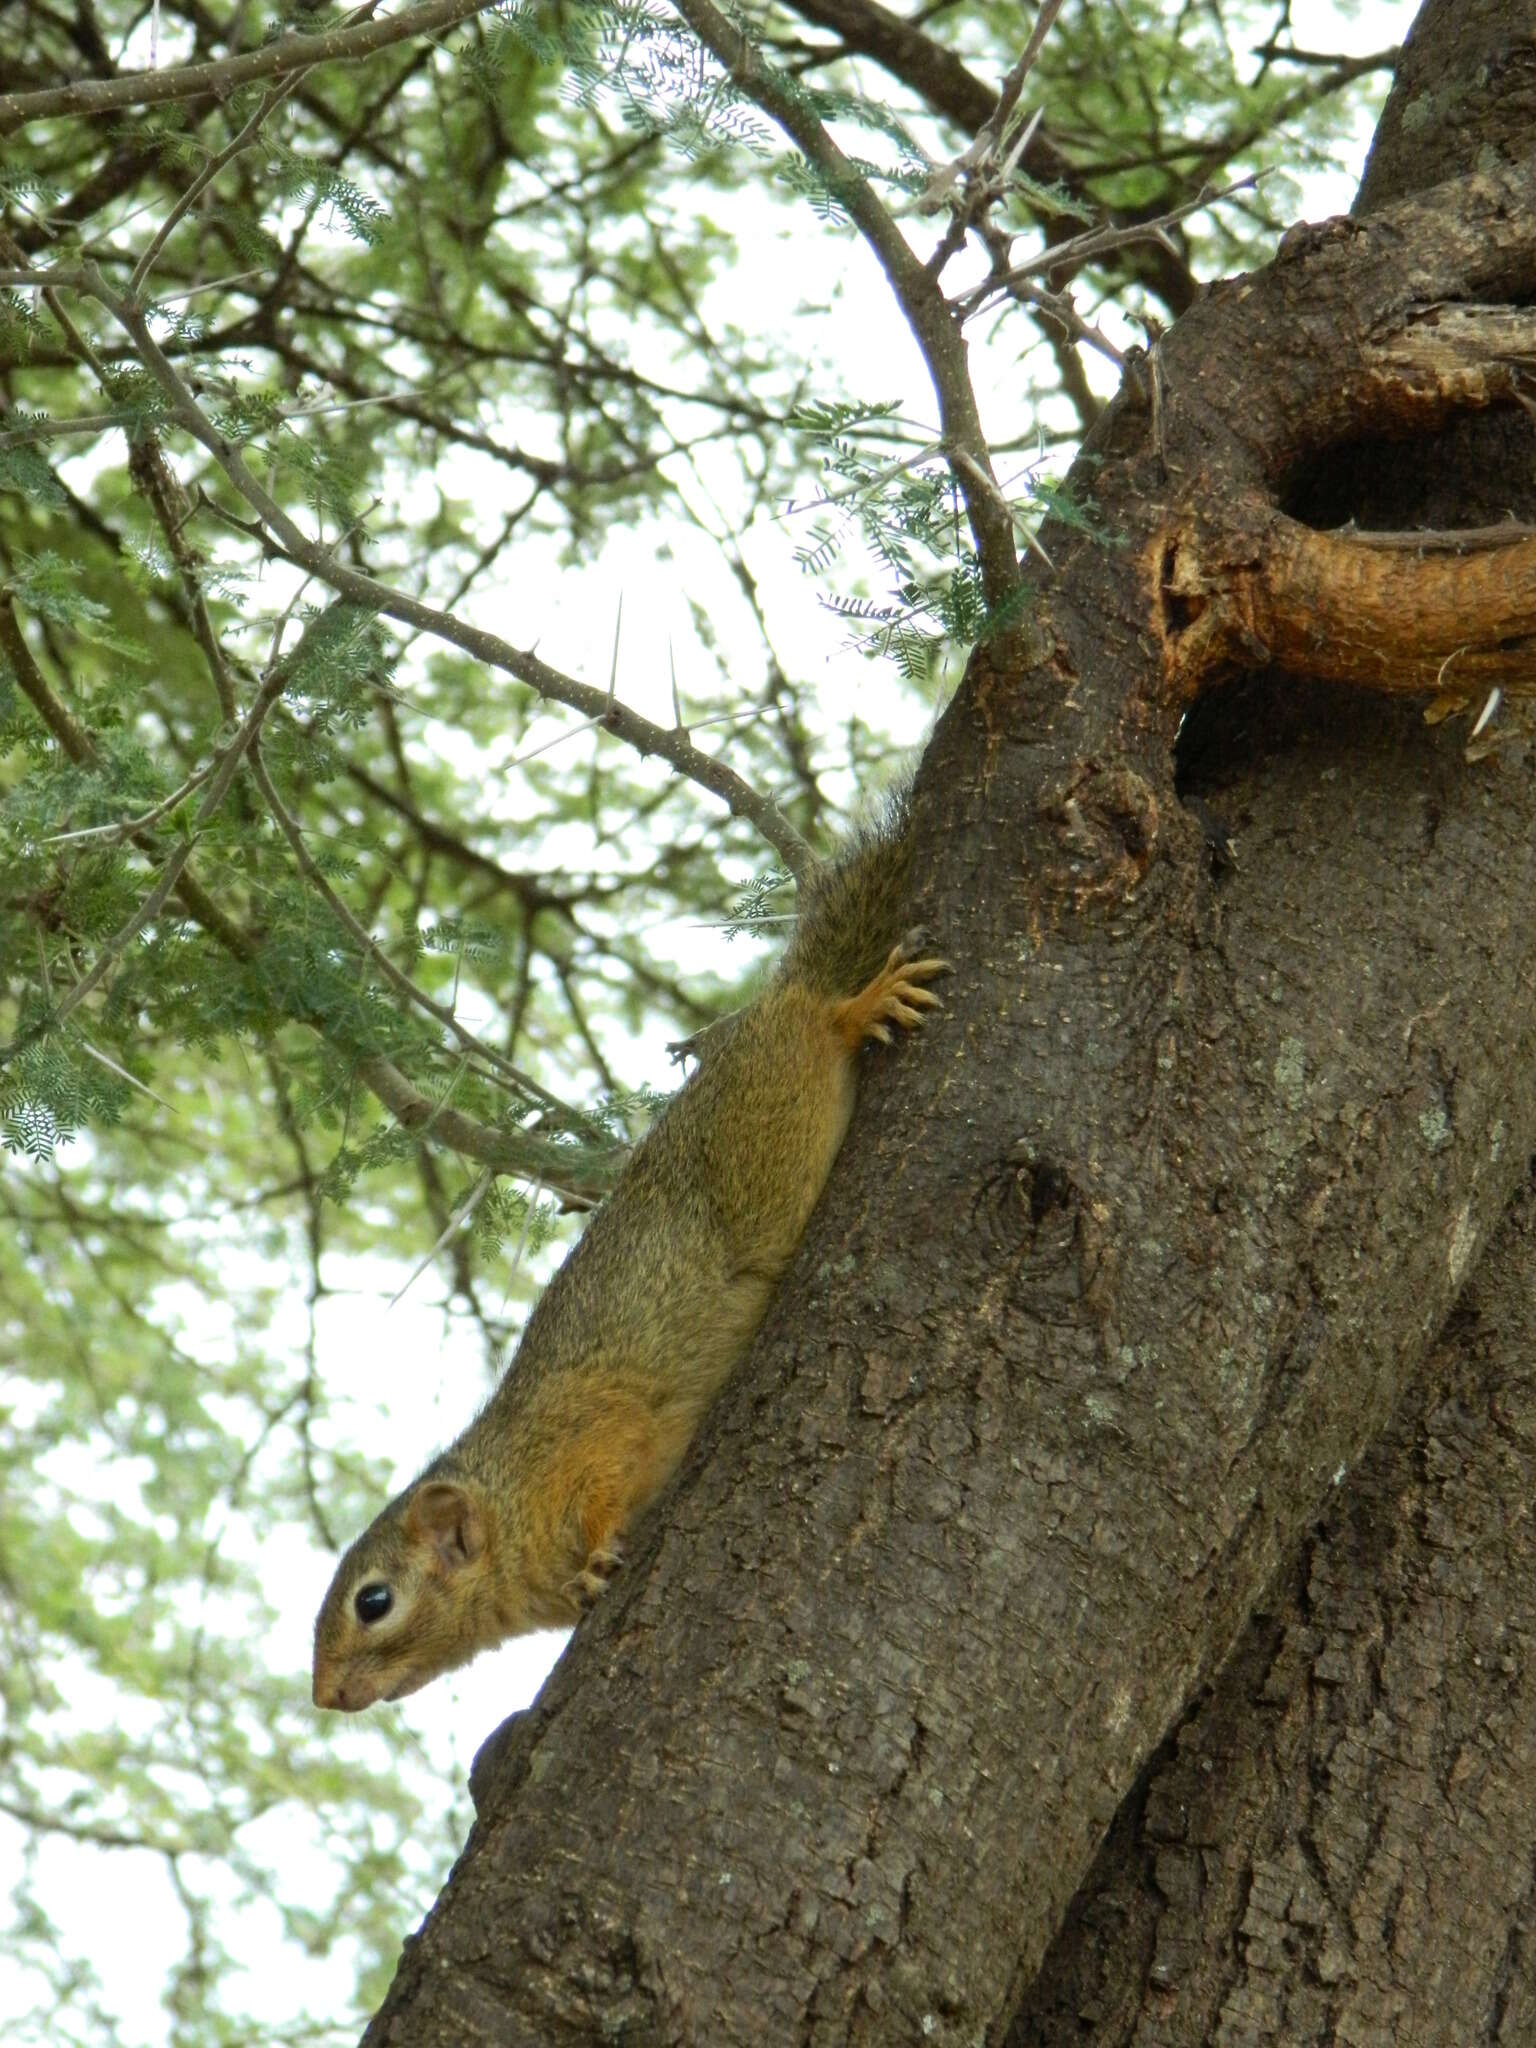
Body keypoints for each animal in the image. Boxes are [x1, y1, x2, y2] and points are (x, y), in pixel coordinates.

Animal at [313, 815, 946, 1712]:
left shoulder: (586, 1438)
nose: (324, 1696)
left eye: (374, 1602)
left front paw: (597, 1556)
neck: (508, 1499)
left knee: (815, 1020)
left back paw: (863, 1004)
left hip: (769, 1114)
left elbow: (612, 1473)